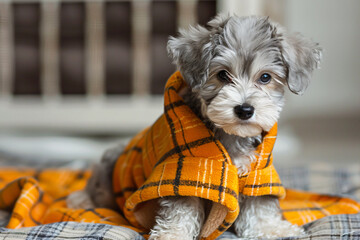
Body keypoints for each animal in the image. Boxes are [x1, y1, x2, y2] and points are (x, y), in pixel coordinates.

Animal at [67, 14, 320, 239]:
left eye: (265, 77)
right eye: (223, 75)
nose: (245, 110)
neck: (230, 136)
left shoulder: (259, 174)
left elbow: (260, 205)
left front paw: (272, 229)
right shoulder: (182, 174)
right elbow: (182, 209)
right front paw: (172, 235)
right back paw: (81, 199)